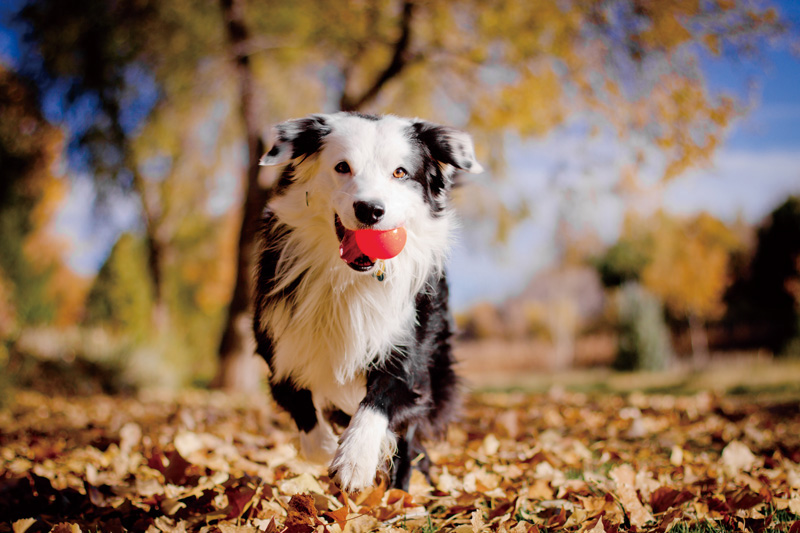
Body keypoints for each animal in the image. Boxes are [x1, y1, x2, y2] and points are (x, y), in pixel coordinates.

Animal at [253, 111, 484, 490]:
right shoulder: (279, 346)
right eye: (342, 167)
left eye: (400, 172)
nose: (370, 209)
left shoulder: (408, 349)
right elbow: (302, 410)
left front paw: (355, 460)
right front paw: (328, 446)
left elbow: (380, 400)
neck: (350, 279)